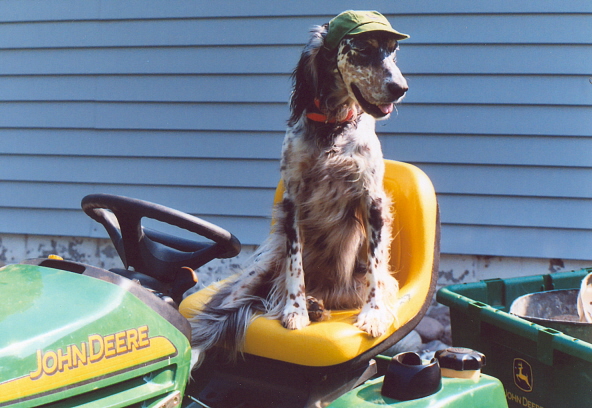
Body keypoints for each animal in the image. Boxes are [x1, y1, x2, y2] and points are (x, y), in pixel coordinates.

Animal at [187, 8, 410, 360]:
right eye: (363, 48)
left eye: (393, 50)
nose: (400, 87)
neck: (333, 127)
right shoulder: (293, 199)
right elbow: (295, 266)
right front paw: (295, 311)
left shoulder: (372, 200)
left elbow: (375, 265)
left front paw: (374, 315)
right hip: (260, 269)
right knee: (218, 315)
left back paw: (319, 304)